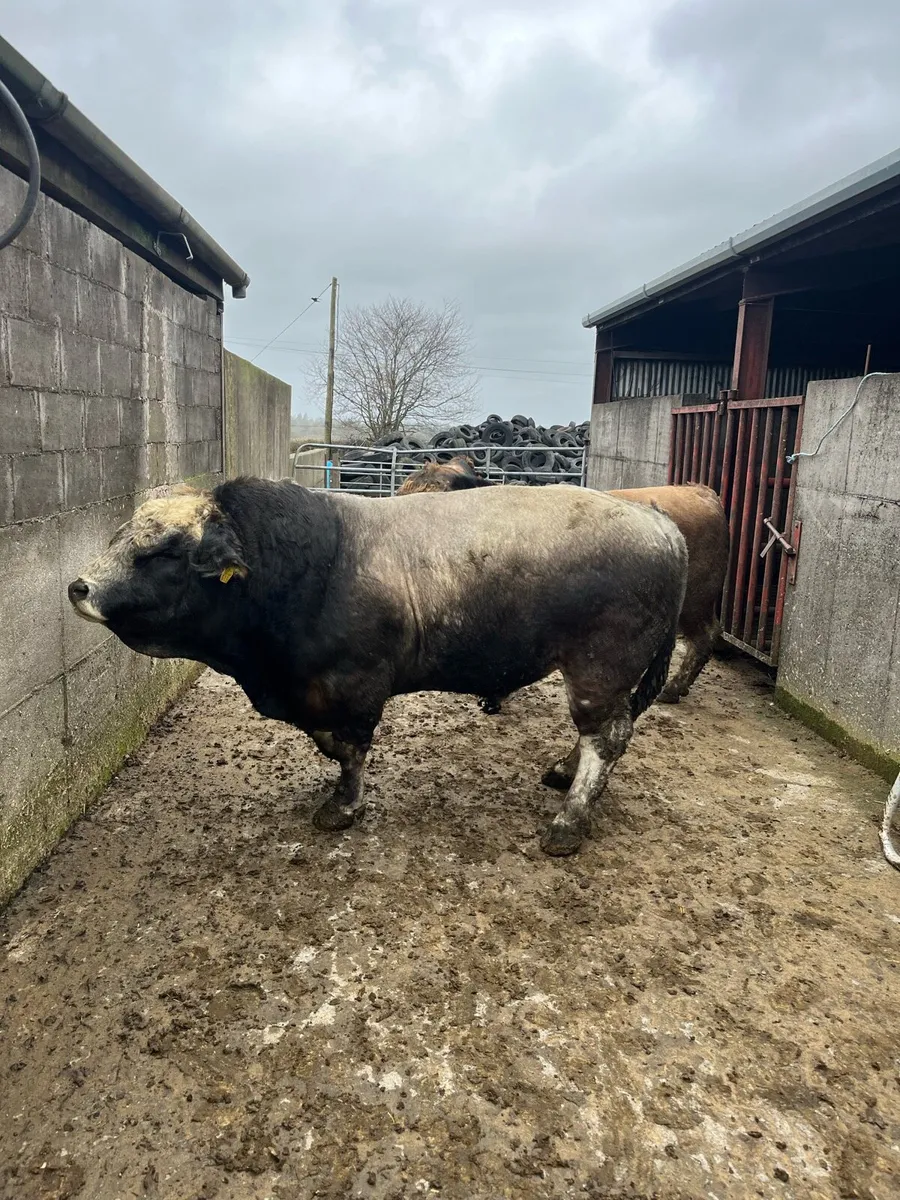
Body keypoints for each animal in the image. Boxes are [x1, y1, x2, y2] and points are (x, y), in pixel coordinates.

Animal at [67, 477, 688, 857]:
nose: (79, 587)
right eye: (119, 536)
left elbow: (350, 749)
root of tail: (657, 522)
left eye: (163, 552)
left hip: (599, 668)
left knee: (606, 736)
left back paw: (569, 820)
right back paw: (566, 772)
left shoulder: (357, 685)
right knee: (606, 733)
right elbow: (329, 742)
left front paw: (343, 805)